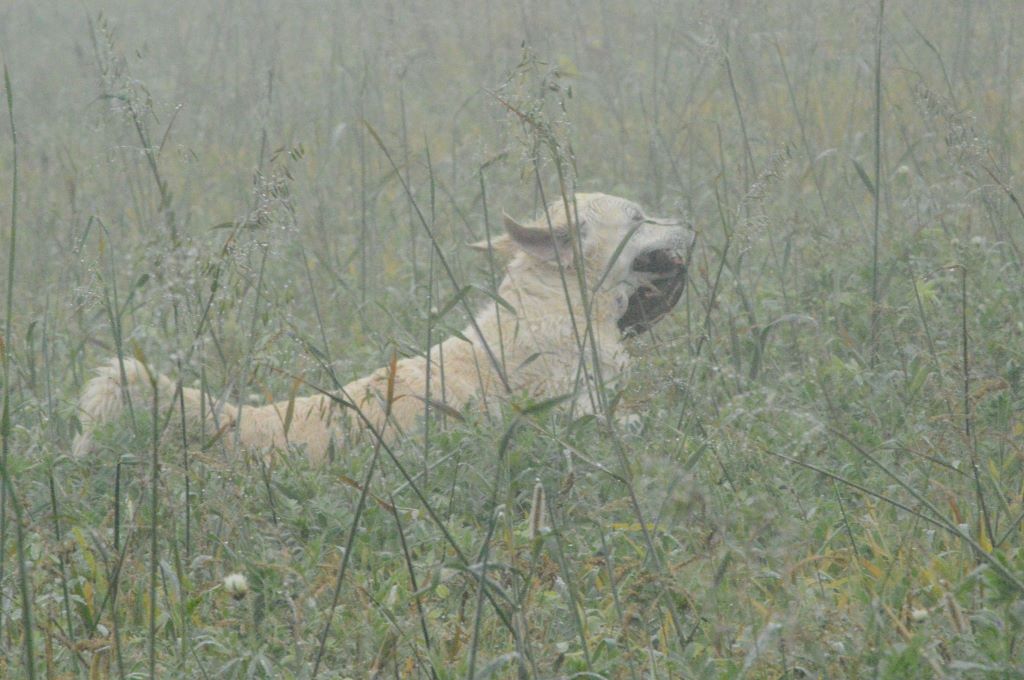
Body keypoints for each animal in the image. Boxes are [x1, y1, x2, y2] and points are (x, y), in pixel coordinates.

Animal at [74, 193, 696, 464]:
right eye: (639, 217)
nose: (692, 223)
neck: (559, 310)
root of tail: (244, 421)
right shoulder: (572, 420)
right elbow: (631, 422)